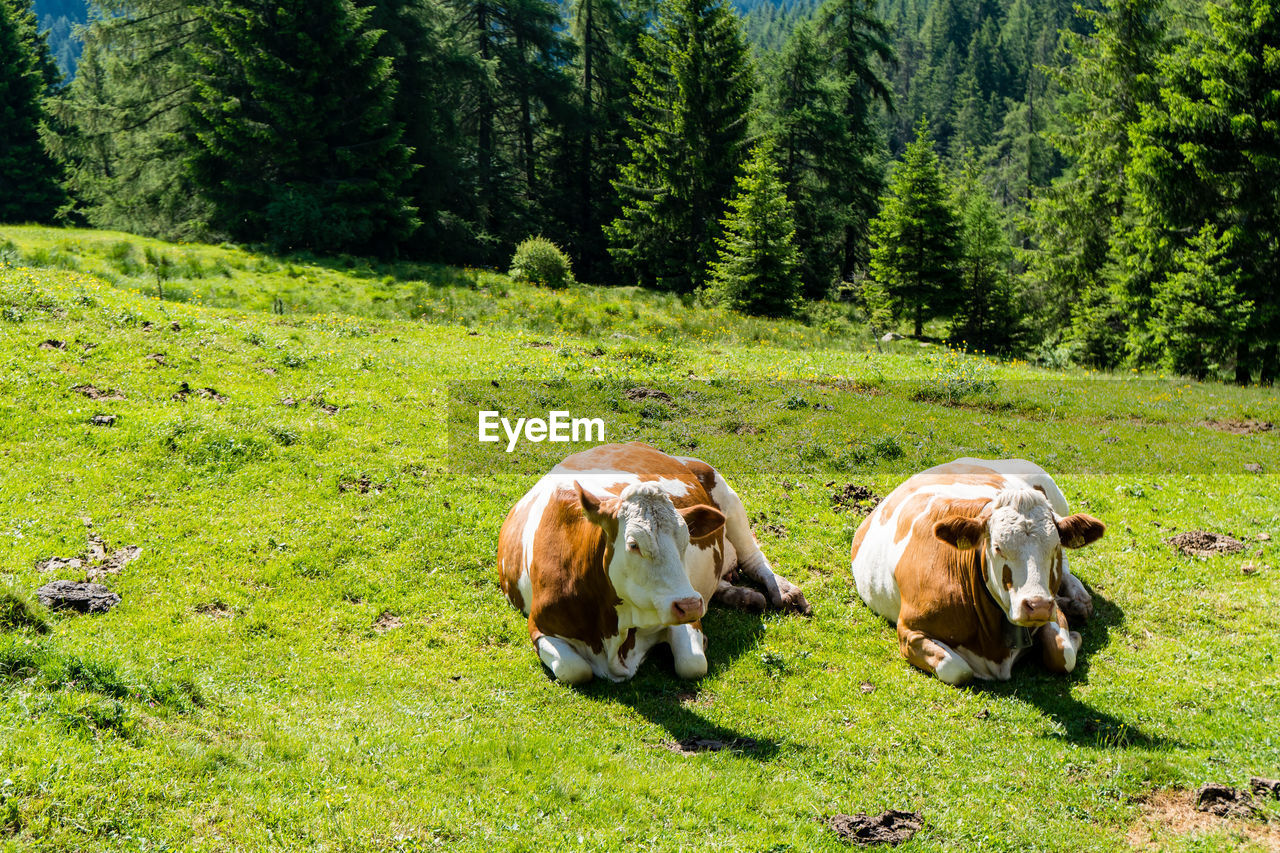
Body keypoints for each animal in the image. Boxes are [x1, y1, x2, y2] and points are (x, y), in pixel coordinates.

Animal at [494, 440, 803, 681]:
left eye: (686, 540)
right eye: (633, 544)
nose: (690, 605)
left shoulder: (683, 614)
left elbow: (692, 662)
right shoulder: (540, 627)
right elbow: (575, 670)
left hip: (722, 488)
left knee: (753, 557)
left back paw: (783, 591)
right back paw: (742, 596)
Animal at [849, 455, 1100, 681]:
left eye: (1055, 545)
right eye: (997, 547)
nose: (1037, 606)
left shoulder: (1051, 610)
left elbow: (1063, 654)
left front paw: (1073, 635)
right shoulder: (909, 631)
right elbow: (956, 669)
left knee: (1066, 570)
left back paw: (1078, 601)